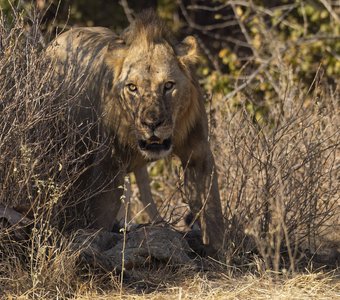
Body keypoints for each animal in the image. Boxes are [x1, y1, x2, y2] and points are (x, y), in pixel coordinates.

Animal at [46, 10, 224, 254]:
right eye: (132, 87)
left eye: (168, 86)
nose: (152, 123)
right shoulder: (109, 163)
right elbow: (101, 212)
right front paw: (96, 242)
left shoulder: (197, 152)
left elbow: (211, 208)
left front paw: (220, 252)